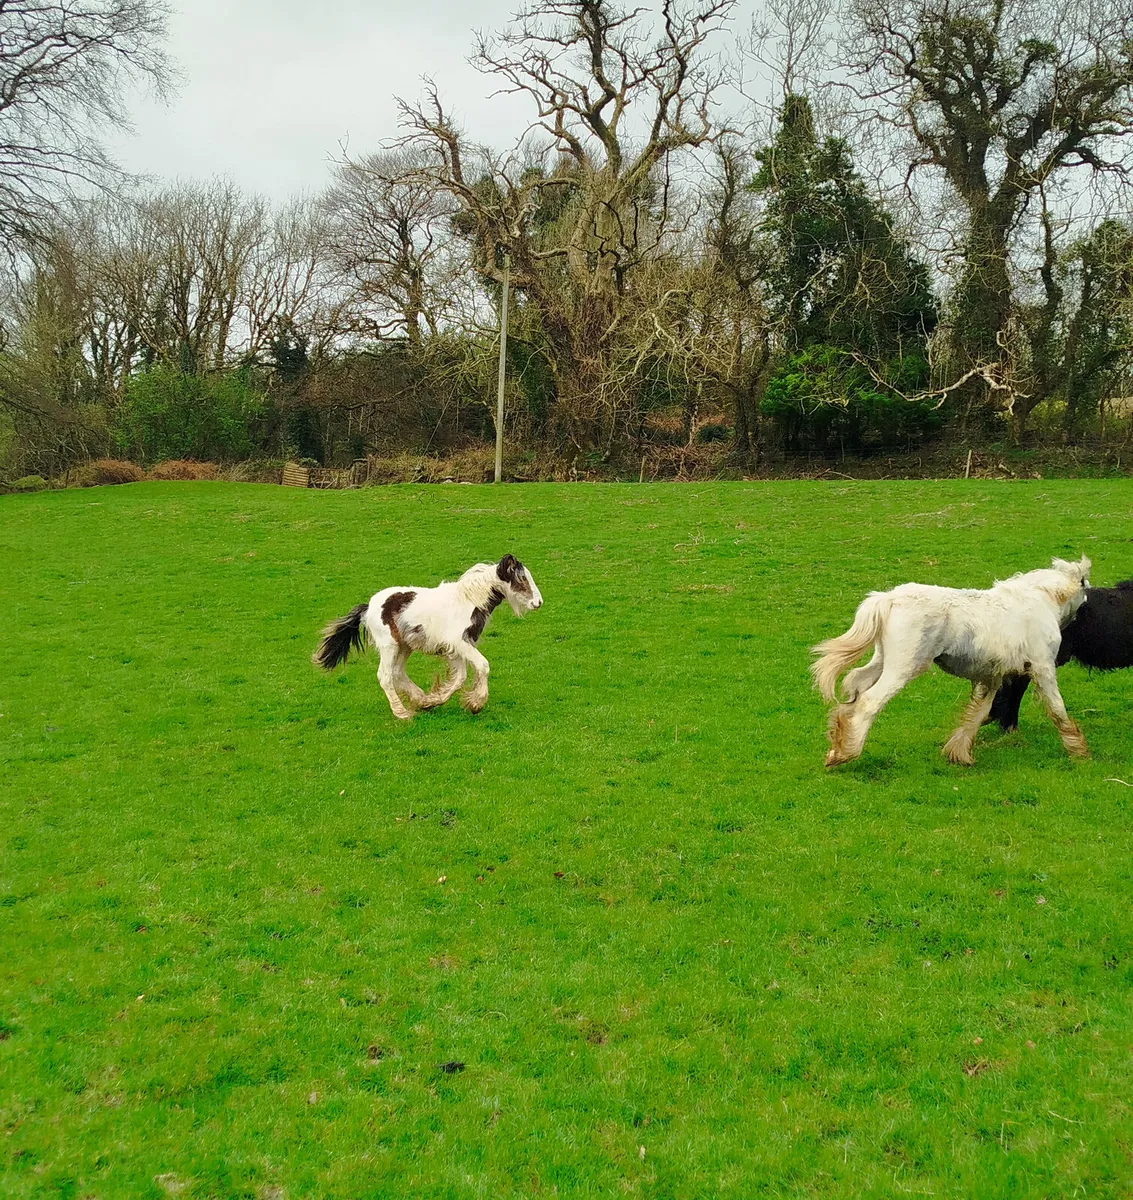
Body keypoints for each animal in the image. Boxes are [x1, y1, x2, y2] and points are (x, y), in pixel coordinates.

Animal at [312, 554, 543, 720]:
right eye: (522, 578)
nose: (538, 602)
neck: (469, 600)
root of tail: (368, 607)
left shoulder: (456, 648)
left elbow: (460, 678)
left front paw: (435, 700)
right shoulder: (460, 643)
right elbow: (483, 666)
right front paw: (476, 703)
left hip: (404, 646)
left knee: (397, 673)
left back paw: (420, 700)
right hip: (389, 646)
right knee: (385, 676)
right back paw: (402, 713)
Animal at [811, 557, 1091, 767]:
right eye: (1085, 586)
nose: (1084, 606)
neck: (1039, 601)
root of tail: (889, 598)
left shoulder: (991, 677)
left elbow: (978, 712)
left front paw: (959, 754)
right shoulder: (1043, 668)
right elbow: (1057, 708)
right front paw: (1079, 751)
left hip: (882, 660)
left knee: (855, 684)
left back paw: (837, 745)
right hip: (903, 666)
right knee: (870, 700)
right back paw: (846, 752)